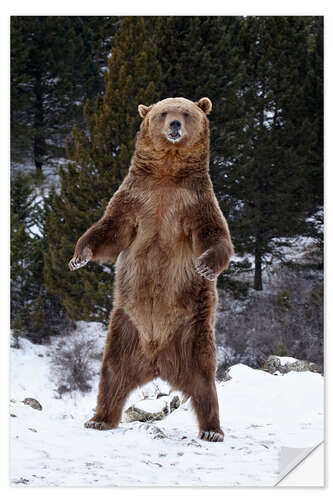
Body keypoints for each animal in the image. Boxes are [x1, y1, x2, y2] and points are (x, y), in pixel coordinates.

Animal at [68, 96, 232, 442]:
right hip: (125, 327)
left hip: (193, 331)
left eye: (186, 112)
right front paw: (79, 257)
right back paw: (99, 418)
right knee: (112, 373)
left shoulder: (194, 203)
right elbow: (110, 230)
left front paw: (205, 266)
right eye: (163, 112)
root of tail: (158, 361)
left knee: (204, 382)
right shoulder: (135, 199)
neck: (167, 175)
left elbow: (214, 234)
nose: (175, 125)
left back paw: (212, 430)